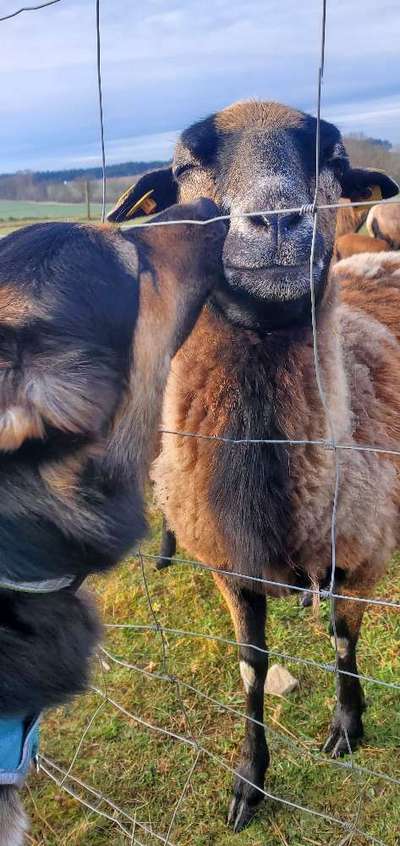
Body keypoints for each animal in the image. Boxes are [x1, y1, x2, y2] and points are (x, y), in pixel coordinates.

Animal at [108, 101, 400, 836]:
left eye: (335, 159)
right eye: (184, 166)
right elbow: (252, 667)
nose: (276, 222)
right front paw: (249, 780)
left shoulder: (358, 552)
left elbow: (343, 641)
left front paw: (347, 724)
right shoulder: (229, 564)